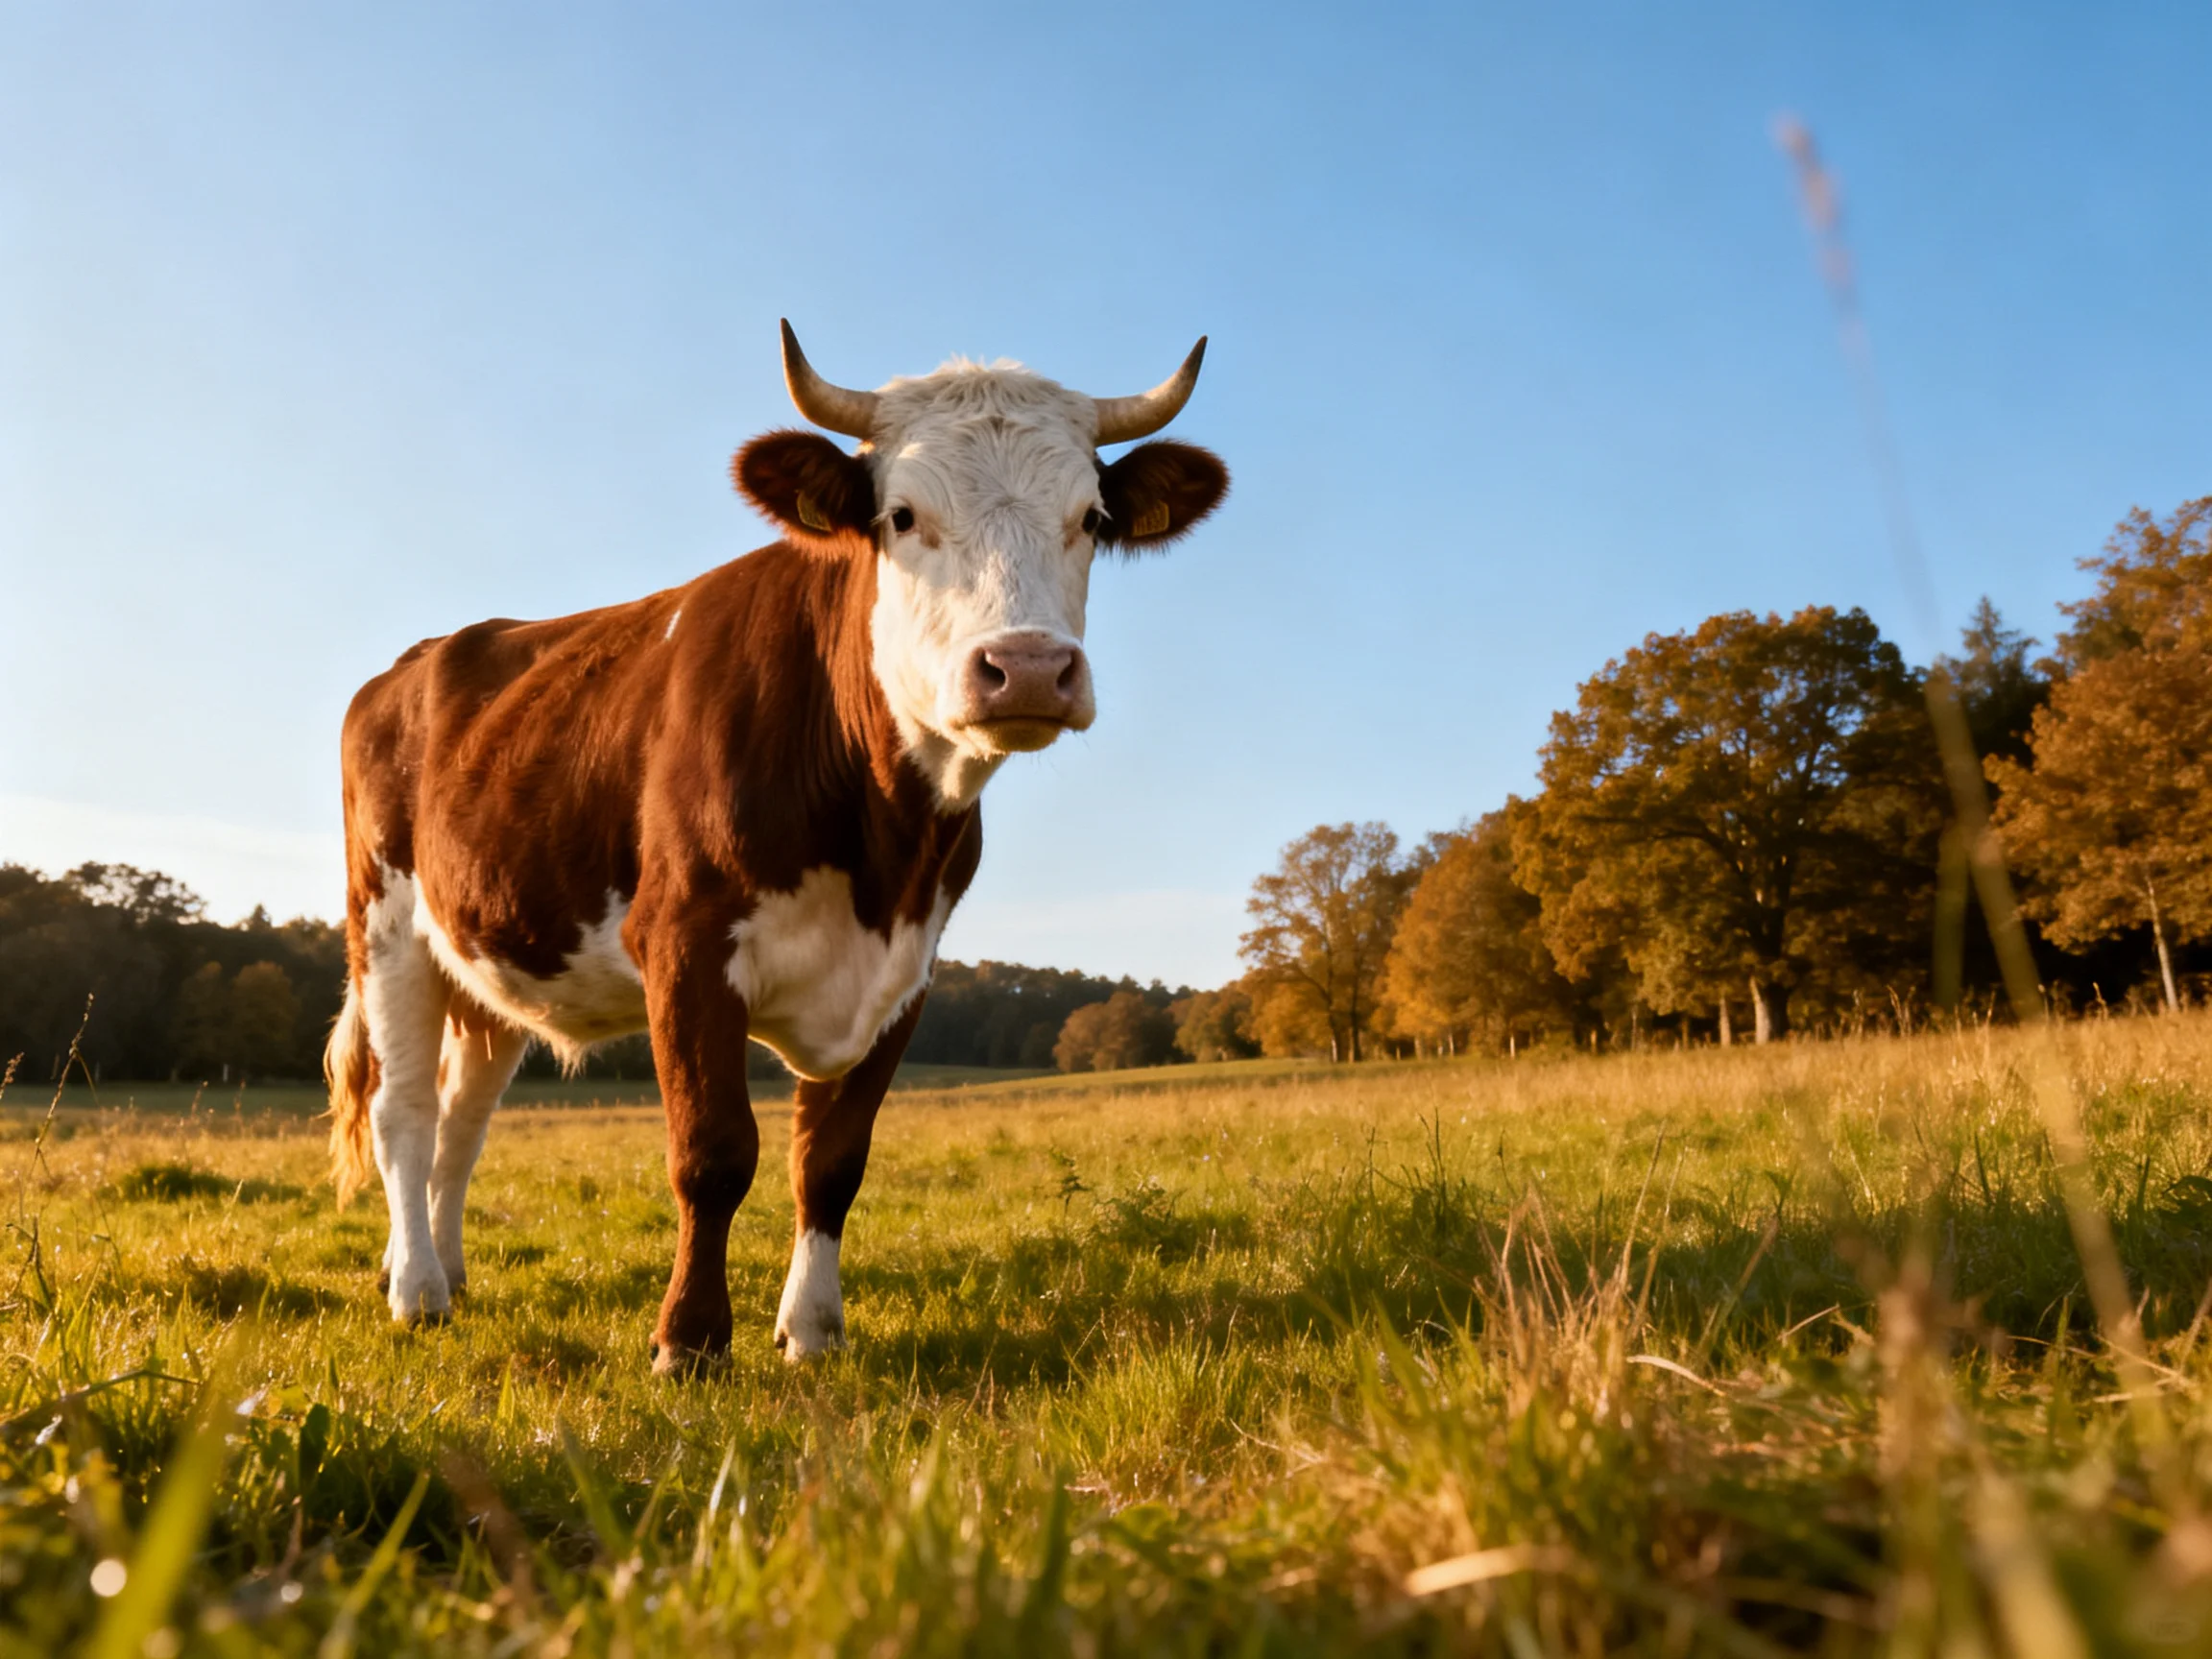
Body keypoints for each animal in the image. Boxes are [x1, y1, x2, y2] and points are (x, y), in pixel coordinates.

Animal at [324, 325, 1228, 1371]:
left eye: (1089, 516)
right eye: (902, 515)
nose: (1030, 667)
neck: (883, 845)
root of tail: (418, 659)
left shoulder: (906, 973)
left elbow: (832, 1162)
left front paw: (813, 1330)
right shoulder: (684, 943)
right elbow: (713, 1153)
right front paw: (689, 1342)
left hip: (487, 961)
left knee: (462, 1120)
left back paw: (446, 1272)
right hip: (387, 925)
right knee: (403, 1113)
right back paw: (416, 1291)